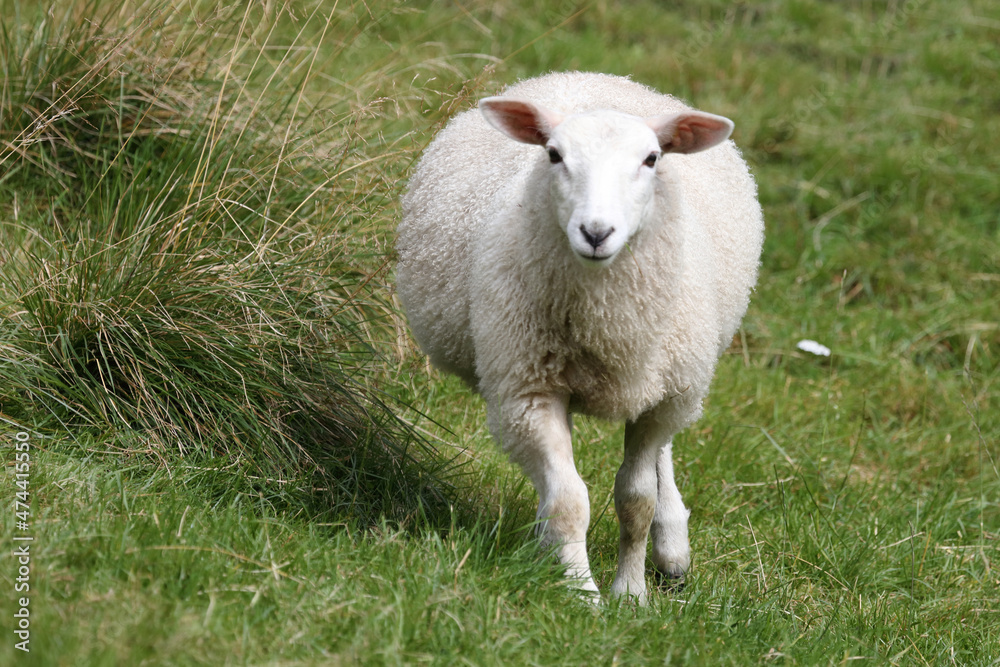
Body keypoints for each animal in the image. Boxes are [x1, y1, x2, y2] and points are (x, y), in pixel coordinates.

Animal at [396, 71, 764, 604]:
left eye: (651, 159)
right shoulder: (531, 391)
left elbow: (637, 500)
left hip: (672, 375)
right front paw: (580, 592)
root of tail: (594, 77)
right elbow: (569, 500)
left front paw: (630, 594)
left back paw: (672, 547)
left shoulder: (656, 400)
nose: (595, 232)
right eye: (554, 155)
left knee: (665, 454)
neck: (605, 321)